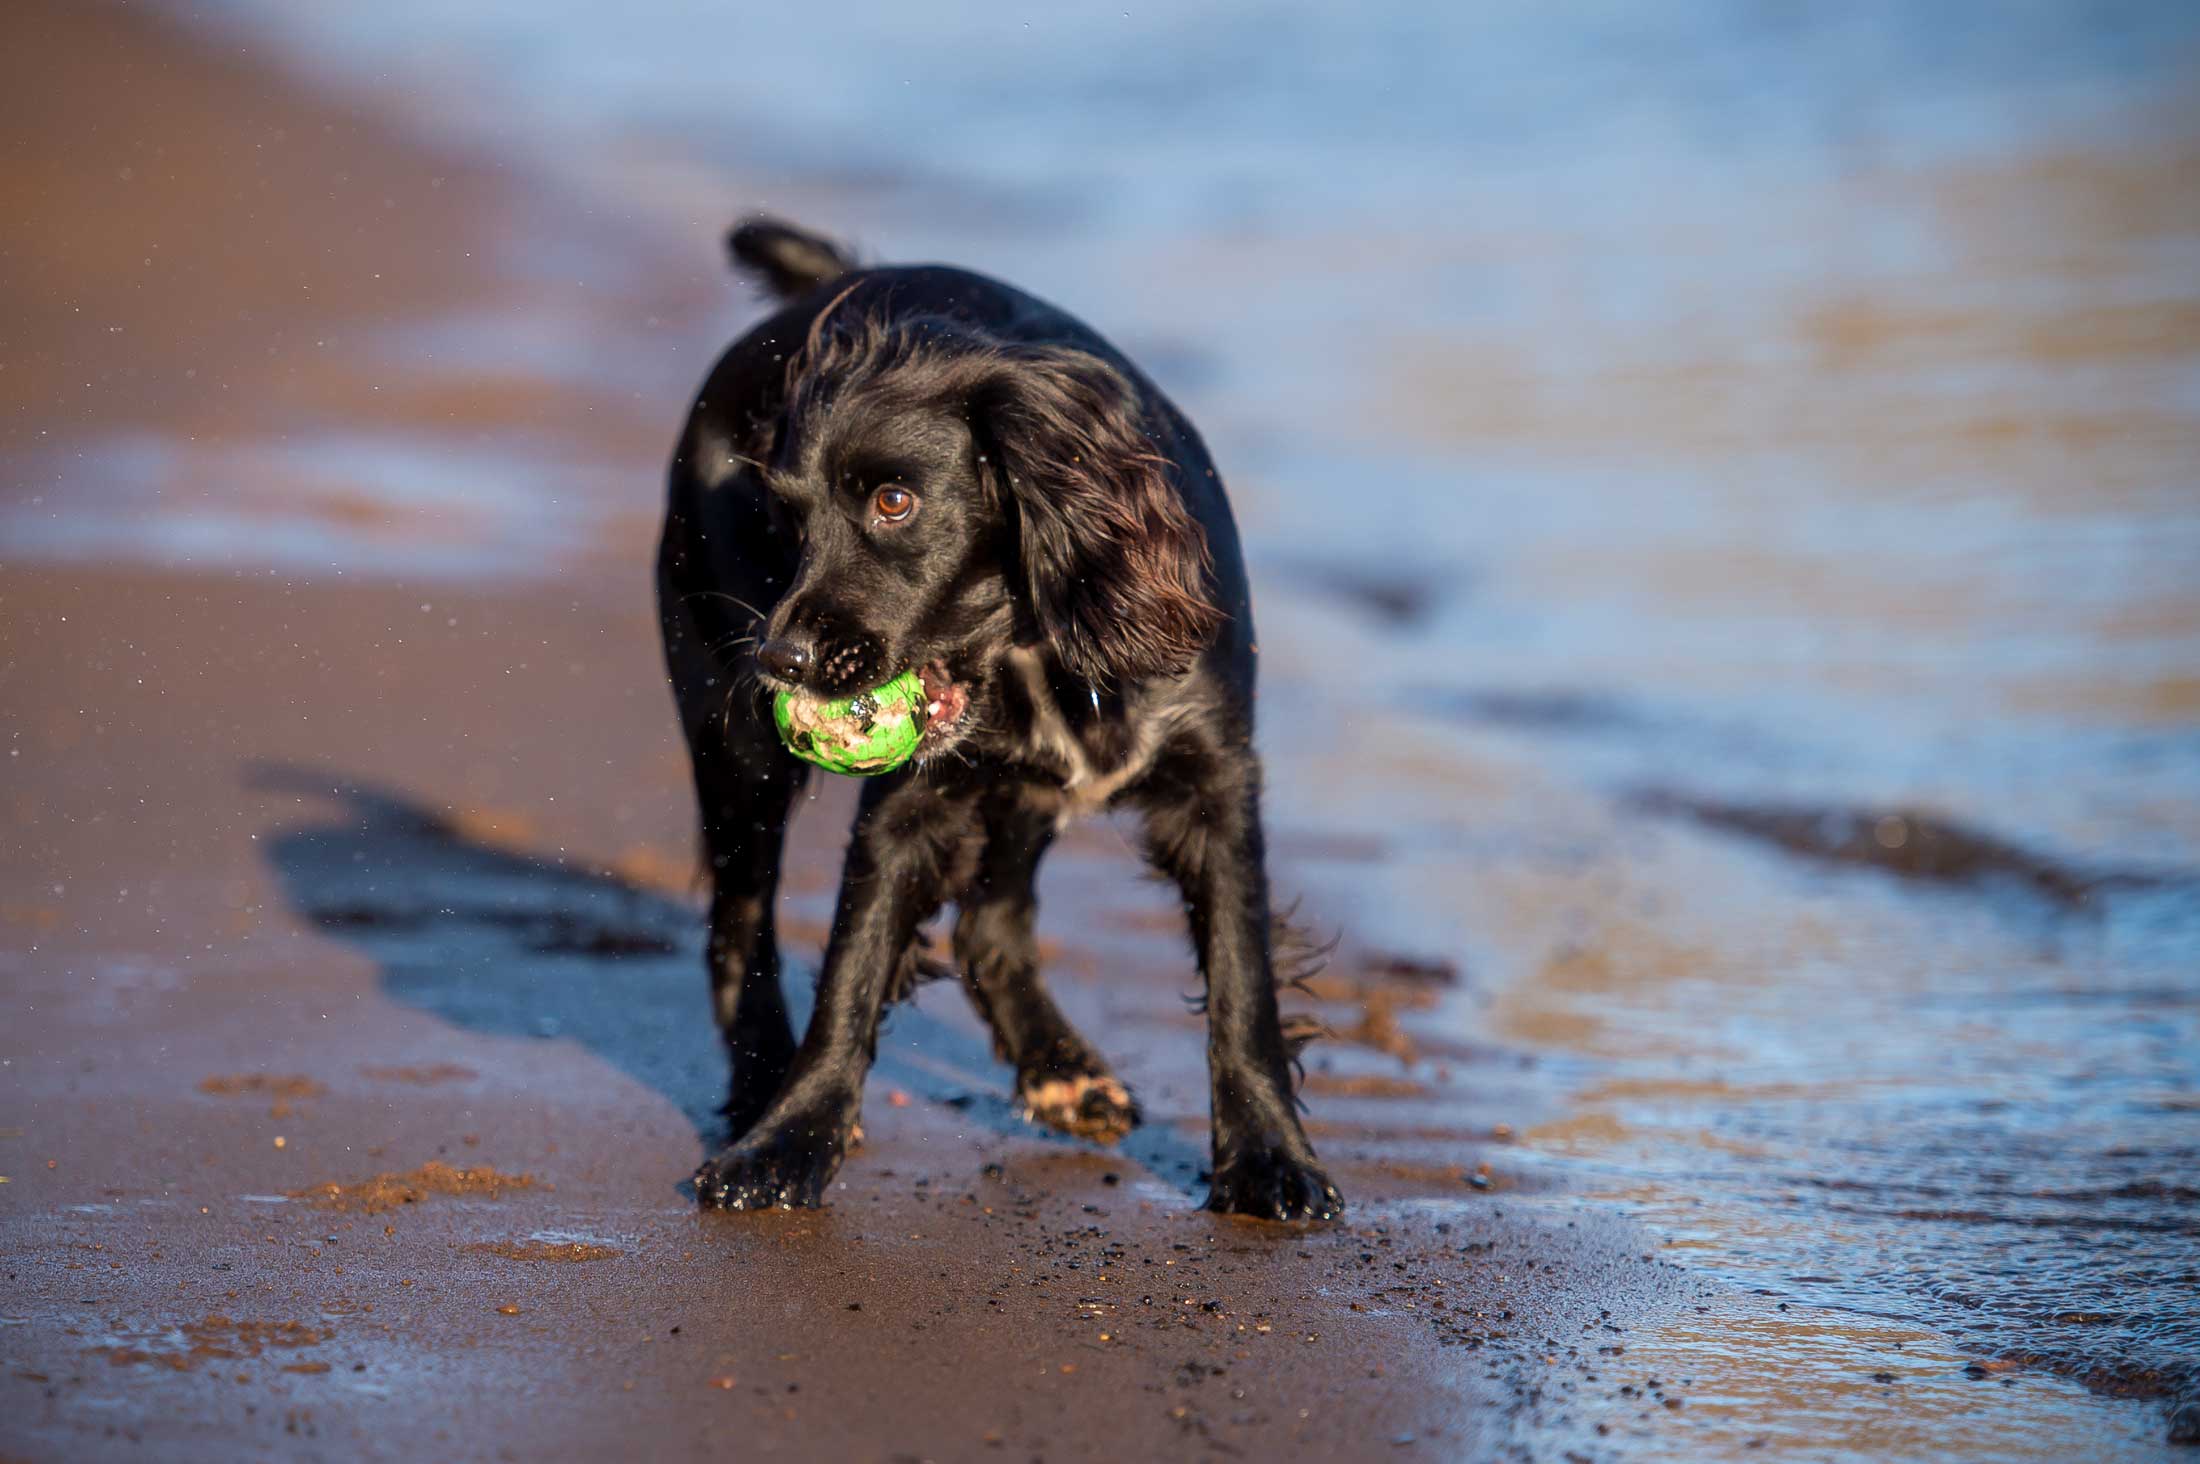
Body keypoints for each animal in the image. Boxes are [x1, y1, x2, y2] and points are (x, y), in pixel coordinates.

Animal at [651, 220, 1337, 1224]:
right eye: (789, 516)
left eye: (894, 501)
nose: (781, 661)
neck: (1038, 650)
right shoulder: (909, 809)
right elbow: (851, 971)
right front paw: (789, 1138)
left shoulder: (1217, 779)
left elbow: (1242, 976)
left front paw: (1270, 1156)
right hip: (732, 739)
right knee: (740, 919)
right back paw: (759, 1083)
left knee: (993, 925)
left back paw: (1061, 1067)